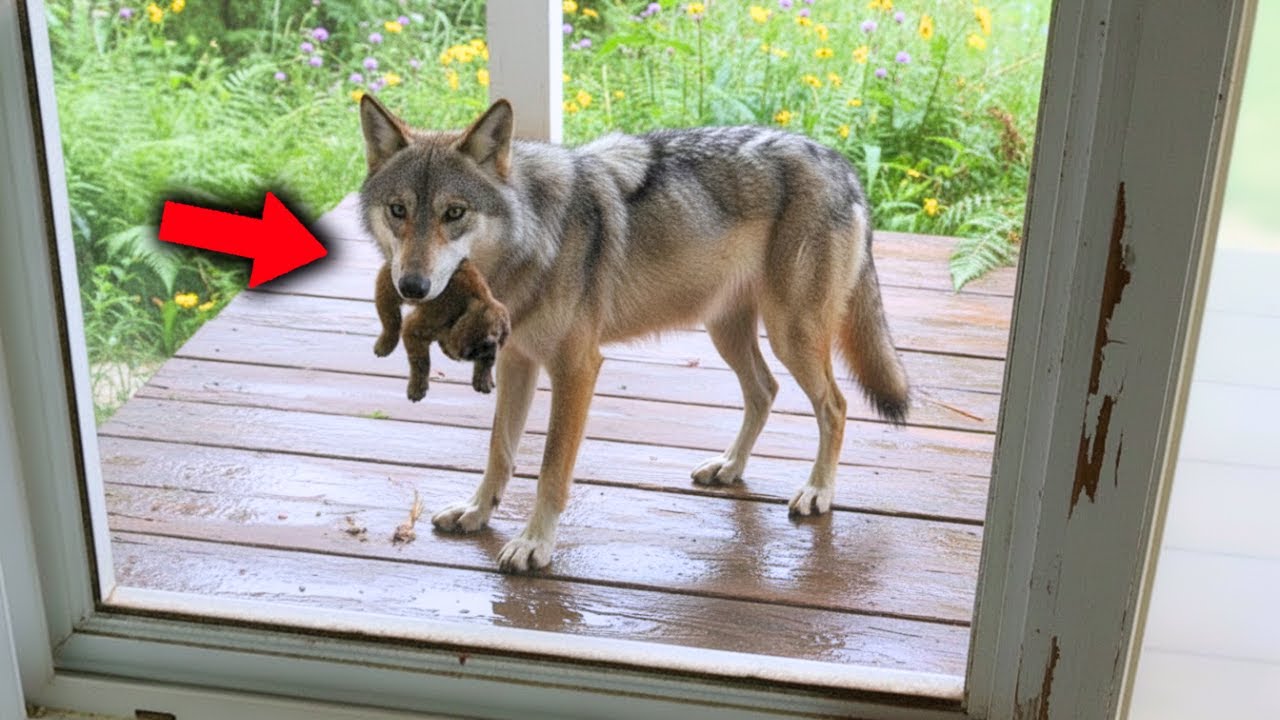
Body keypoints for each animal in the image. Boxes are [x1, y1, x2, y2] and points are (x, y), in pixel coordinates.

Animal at [358, 96, 910, 573]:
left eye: (454, 213)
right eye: (398, 210)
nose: (411, 286)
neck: (533, 237)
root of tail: (841, 164)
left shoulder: (577, 369)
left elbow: (551, 471)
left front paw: (535, 544)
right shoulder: (518, 362)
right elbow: (500, 452)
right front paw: (476, 513)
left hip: (789, 336)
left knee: (835, 406)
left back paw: (818, 492)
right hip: (727, 332)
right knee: (764, 390)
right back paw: (729, 467)